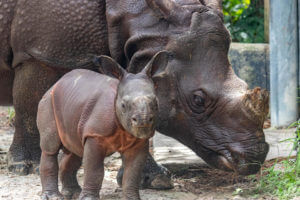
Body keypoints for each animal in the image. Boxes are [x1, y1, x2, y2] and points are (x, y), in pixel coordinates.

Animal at [36, 52, 168, 200]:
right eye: (123, 105)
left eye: (156, 103)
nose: (143, 121)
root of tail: (55, 84)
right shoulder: (95, 134)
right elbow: (95, 170)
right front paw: (88, 199)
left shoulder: (138, 140)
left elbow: (133, 172)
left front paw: (132, 198)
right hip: (48, 102)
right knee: (50, 148)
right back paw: (54, 196)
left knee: (75, 149)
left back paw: (73, 193)